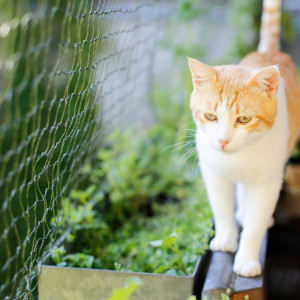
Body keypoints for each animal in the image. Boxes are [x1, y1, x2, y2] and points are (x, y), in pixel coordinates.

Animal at [190, 0, 300, 276]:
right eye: (210, 116)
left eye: (244, 119)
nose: (223, 141)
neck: (239, 158)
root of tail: (268, 53)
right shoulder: (214, 173)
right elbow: (221, 210)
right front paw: (226, 239)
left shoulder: (267, 182)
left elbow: (256, 224)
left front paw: (247, 260)